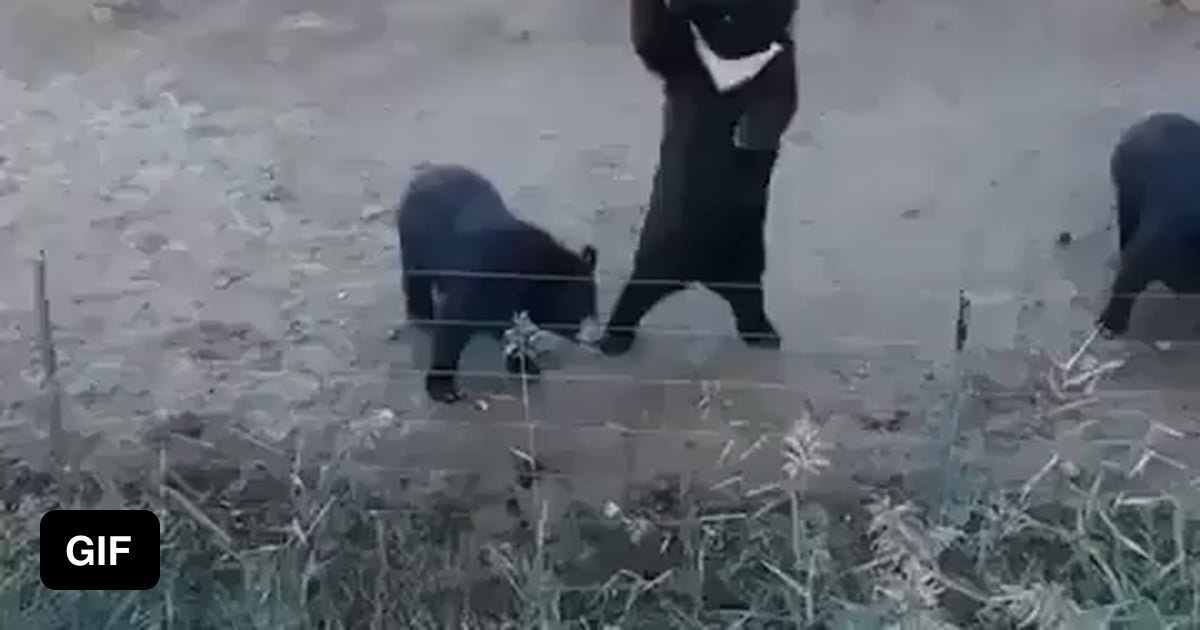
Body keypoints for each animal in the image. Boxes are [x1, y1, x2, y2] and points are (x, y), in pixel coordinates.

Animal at [396, 163, 599, 403]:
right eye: (577, 305)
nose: (588, 334)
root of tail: (425, 174)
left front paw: (524, 365)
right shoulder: (478, 282)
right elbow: (453, 327)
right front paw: (441, 386)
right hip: (416, 243)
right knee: (416, 277)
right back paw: (422, 313)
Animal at [598, 0, 798, 356]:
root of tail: (701, 275)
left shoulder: (777, 61)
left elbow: (778, 102)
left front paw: (748, 137)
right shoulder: (689, 60)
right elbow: (653, 40)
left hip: (746, 255)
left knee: (750, 297)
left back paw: (762, 334)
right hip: (660, 250)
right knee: (638, 290)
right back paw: (614, 338)